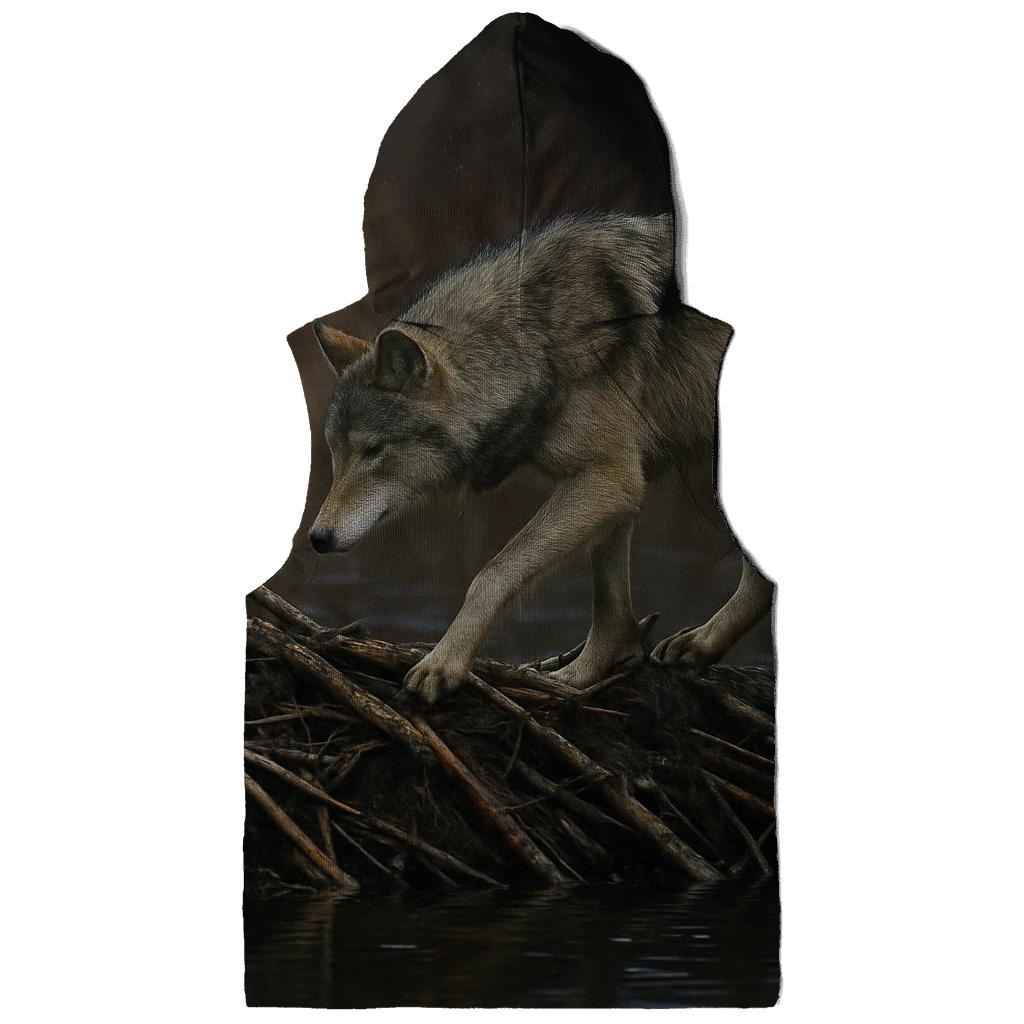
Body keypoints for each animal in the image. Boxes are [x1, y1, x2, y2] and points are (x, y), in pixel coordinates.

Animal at [309, 211, 772, 703]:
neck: (534, 339)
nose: (317, 537)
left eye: (373, 450)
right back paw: (698, 645)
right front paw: (579, 678)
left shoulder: (607, 479)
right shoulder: (613, 480)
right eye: (336, 453)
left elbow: (491, 575)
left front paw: (442, 663)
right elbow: (608, 601)